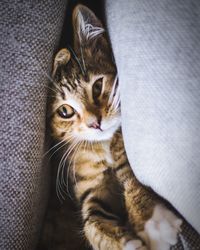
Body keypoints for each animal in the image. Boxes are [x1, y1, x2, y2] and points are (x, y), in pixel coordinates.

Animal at [49, 4, 181, 250]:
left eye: (98, 86)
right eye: (65, 111)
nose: (95, 123)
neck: (102, 147)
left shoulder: (121, 154)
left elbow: (128, 173)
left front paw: (152, 220)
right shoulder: (89, 188)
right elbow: (91, 221)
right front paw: (129, 243)